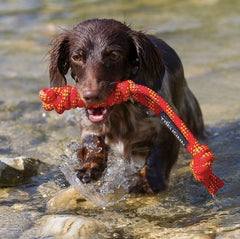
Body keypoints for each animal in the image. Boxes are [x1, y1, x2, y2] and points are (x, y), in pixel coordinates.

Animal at [48, 18, 204, 194]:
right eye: (76, 57)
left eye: (114, 55)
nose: (91, 96)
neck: (121, 112)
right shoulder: (89, 127)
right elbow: (93, 144)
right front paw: (89, 168)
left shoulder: (166, 127)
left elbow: (157, 155)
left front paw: (147, 181)